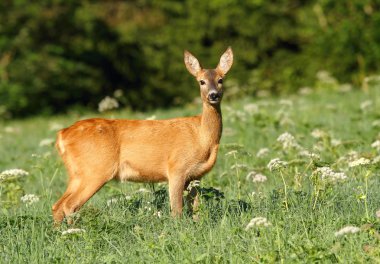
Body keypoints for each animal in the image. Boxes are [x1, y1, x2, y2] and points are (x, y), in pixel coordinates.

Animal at [52, 47, 233, 223]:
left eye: (221, 80)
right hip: (95, 169)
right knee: (69, 205)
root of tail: (62, 134)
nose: (213, 95)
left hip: (77, 173)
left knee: (57, 205)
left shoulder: (196, 175)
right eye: (201, 81)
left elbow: (196, 209)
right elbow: (177, 210)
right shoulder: (176, 167)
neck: (202, 138)